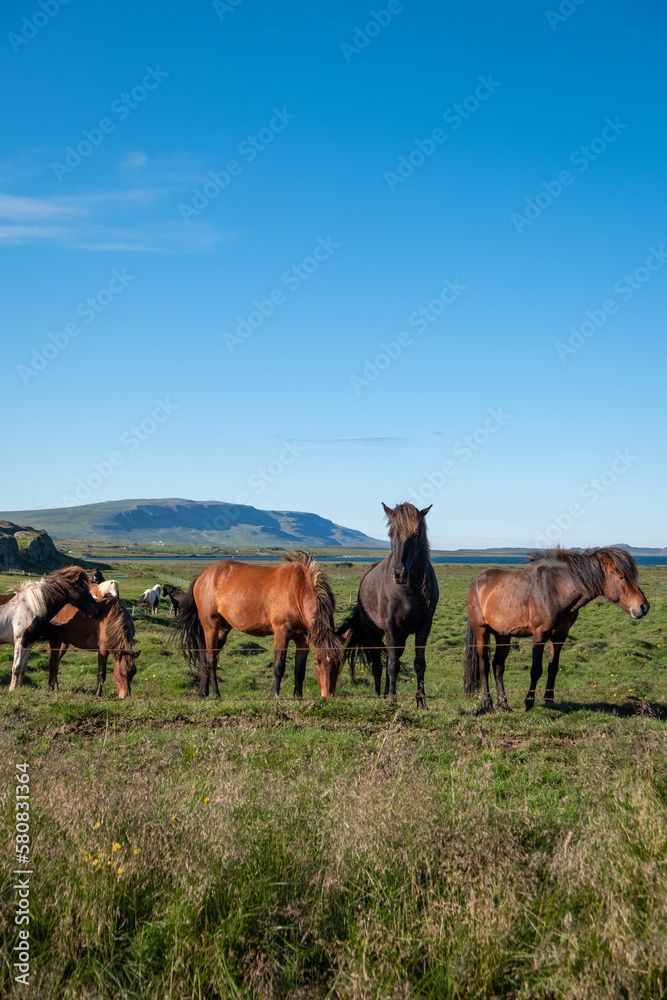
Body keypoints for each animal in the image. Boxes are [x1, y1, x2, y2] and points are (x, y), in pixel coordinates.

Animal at [172, 552, 342, 700]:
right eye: (317, 662)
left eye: (339, 662)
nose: (328, 695)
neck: (297, 591)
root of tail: (203, 576)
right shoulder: (281, 633)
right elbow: (279, 666)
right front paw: (274, 695)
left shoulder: (303, 640)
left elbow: (299, 671)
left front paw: (297, 697)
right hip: (210, 626)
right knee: (211, 660)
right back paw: (216, 694)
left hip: (222, 629)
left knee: (204, 658)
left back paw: (203, 692)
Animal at [342, 500, 440, 712]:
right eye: (391, 533)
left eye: (416, 534)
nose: (399, 574)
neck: (408, 591)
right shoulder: (390, 627)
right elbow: (392, 665)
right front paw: (392, 700)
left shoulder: (424, 627)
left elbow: (419, 664)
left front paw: (421, 702)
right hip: (373, 633)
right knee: (379, 666)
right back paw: (380, 696)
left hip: (400, 637)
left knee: (389, 660)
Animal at [468, 548, 648, 712]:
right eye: (621, 576)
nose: (643, 607)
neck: (557, 589)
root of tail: (477, 582)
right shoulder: (539, 635)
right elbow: (536, 669)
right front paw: (529, 702)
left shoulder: (560, 636)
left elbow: (553, 668)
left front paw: (549, 700)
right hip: (481, 632)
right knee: (484, 665)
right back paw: (488, 703)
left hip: (503, 635)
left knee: (498, 666)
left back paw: (504, 704)